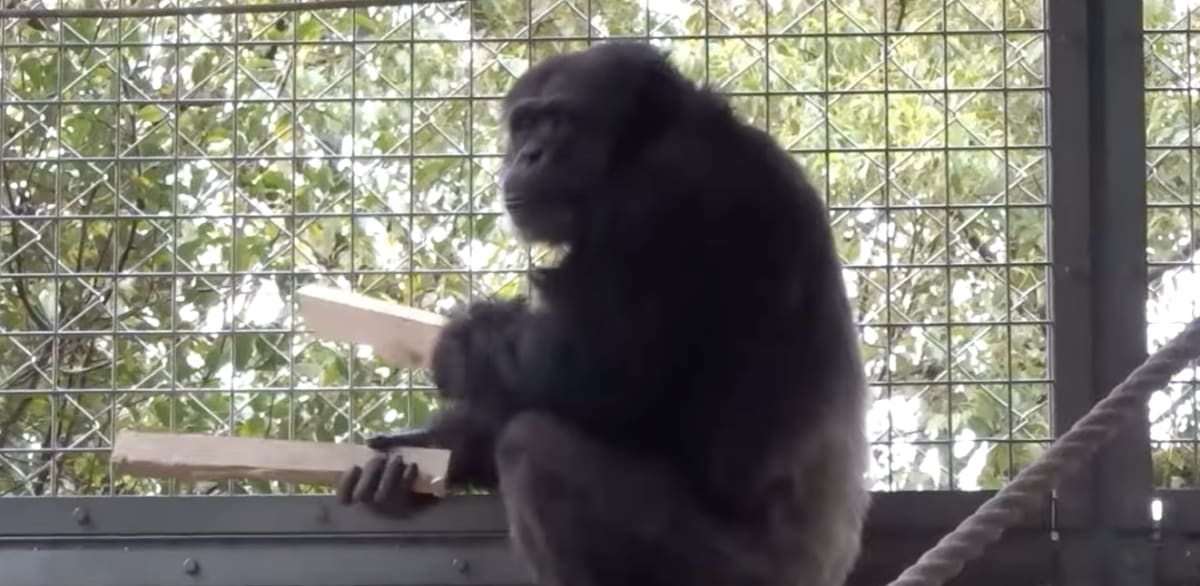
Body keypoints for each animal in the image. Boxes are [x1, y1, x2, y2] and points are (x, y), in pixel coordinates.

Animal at [338, 40, 871, 586]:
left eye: (560, 121)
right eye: (525, 124)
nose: (530, 154)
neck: (636, 150)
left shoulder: (654, 204)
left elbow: (585, 373)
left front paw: (459, 343)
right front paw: (422, 452)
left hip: (730, 571)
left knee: (533, 447)